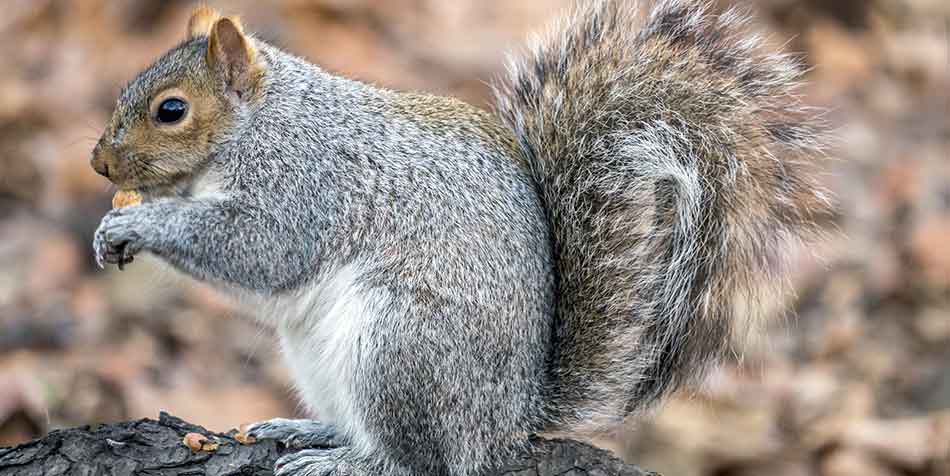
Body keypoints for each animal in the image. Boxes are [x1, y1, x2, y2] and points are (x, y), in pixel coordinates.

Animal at [91, 1, 830, 475]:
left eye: (172, 109)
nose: (98, 164)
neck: (262, 122)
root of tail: (511, 420)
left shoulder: (304, 184)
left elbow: (260, 247)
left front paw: (138, 223)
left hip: (402, 347)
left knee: (424, 461)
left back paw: (350, 464)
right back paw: (309, 428)